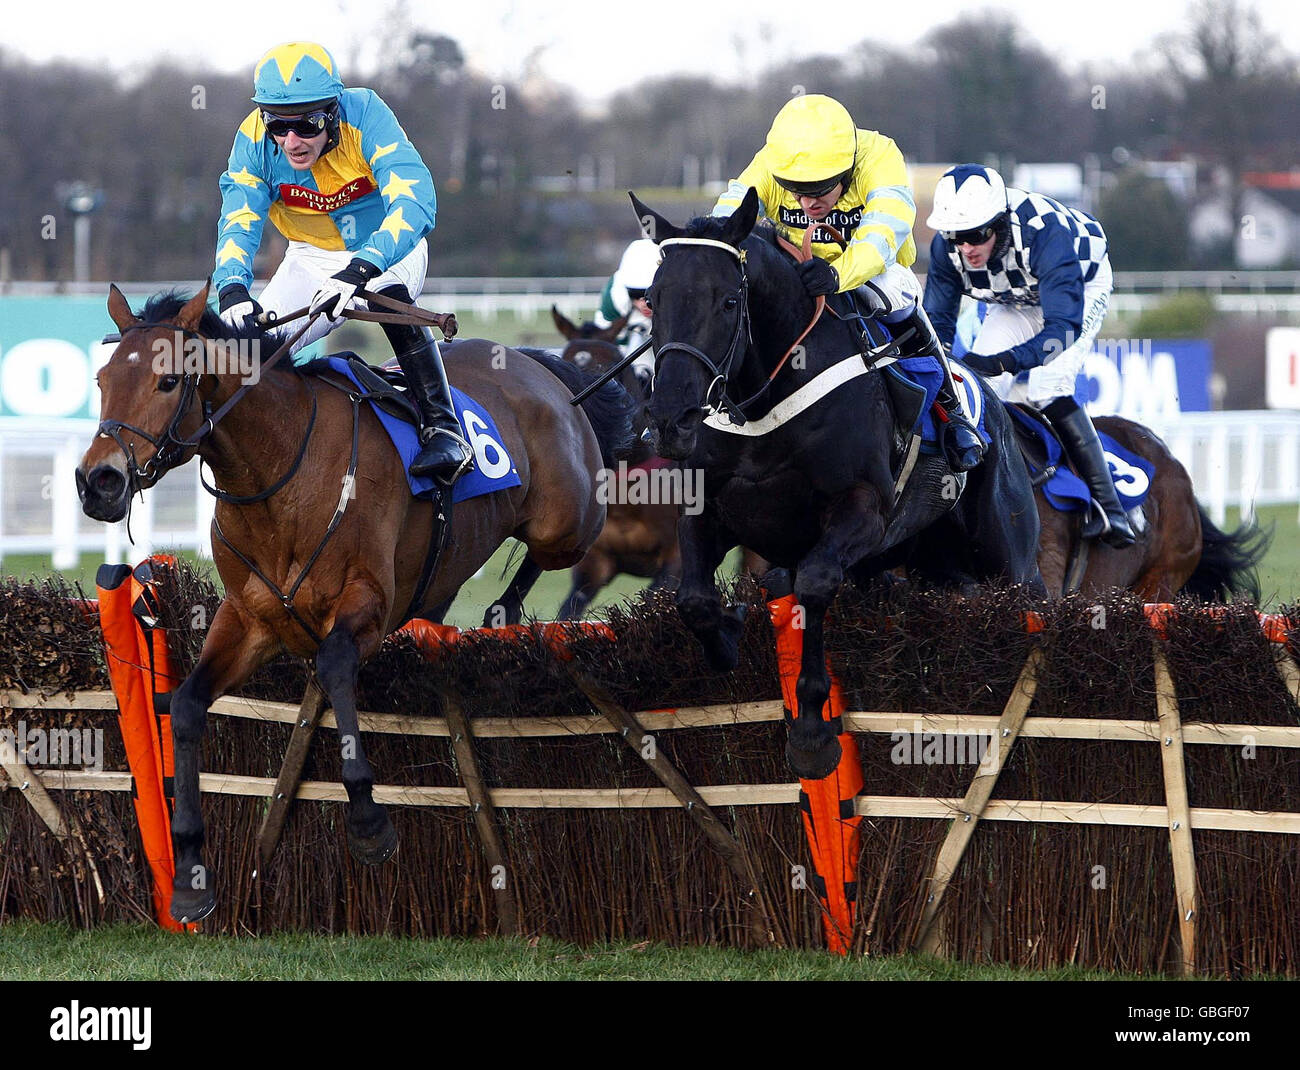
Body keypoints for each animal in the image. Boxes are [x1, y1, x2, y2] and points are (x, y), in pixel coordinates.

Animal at [76, 282, 634, 920]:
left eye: (168, 381)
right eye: (102, 378)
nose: (98, 482)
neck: (279, 474)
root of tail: (535, 364)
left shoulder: (367, 605)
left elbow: (336, 664)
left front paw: (369, 823)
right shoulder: (248, 619)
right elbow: (190, 704)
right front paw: (191, 869)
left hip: (566, 524)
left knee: (553, 552)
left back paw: (503, 608)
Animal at [631, 189, 1045, 780]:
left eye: (728, 302)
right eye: (654, 300)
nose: (671, 418)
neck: (766, 403)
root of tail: (997, 406)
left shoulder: (861, 510)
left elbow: (815, 583)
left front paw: (810, 732)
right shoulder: (705, 510)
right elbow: (693, 599)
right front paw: (727, 638)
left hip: (1009, 560)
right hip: (929, 564)